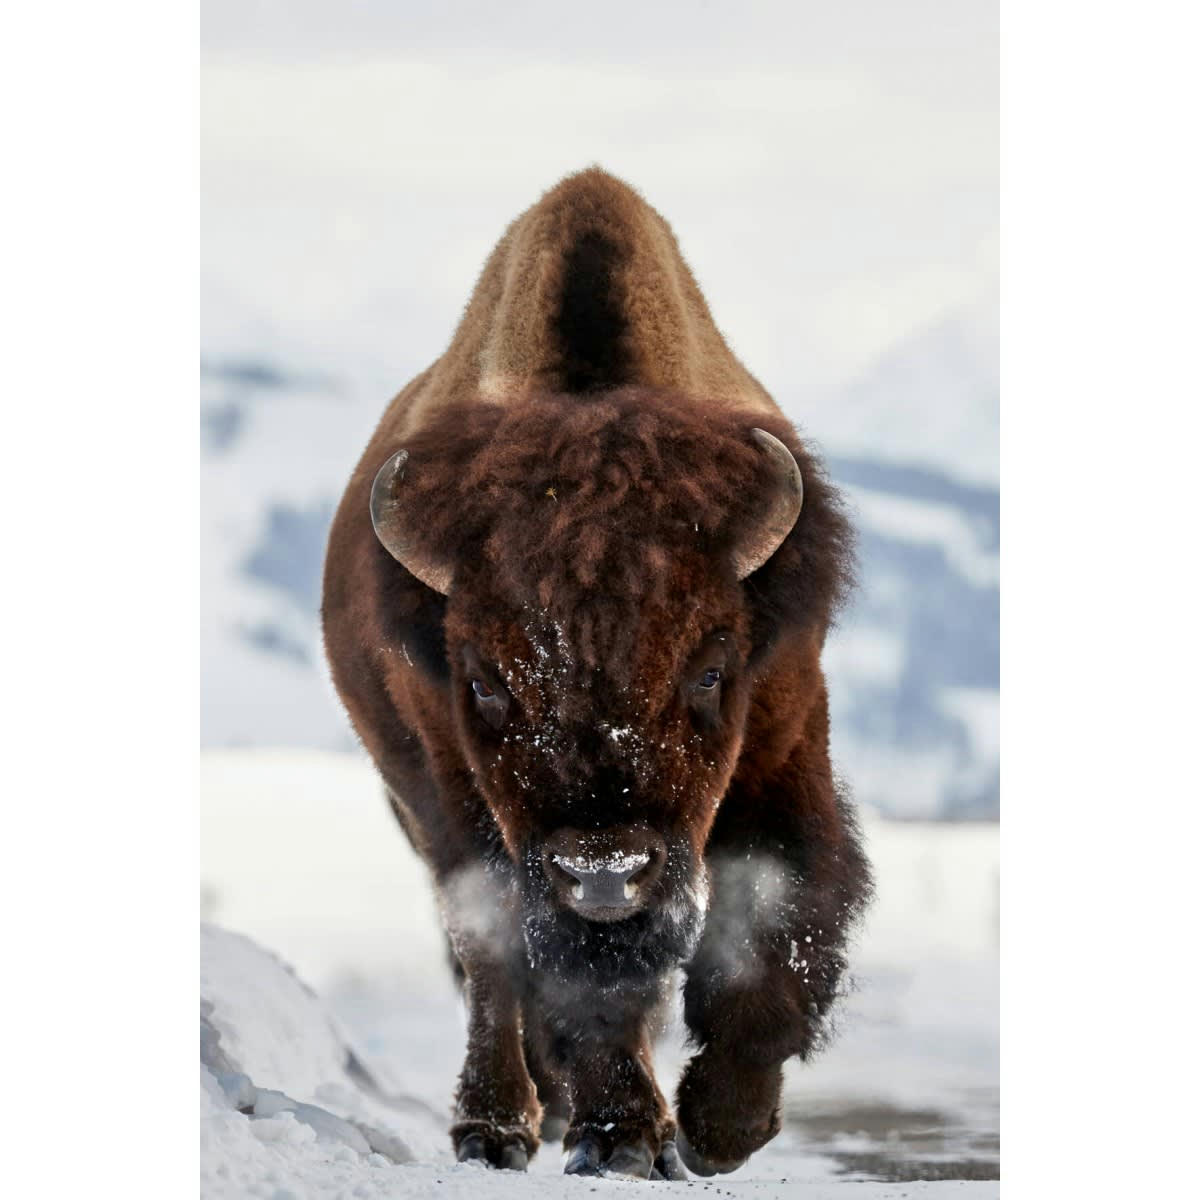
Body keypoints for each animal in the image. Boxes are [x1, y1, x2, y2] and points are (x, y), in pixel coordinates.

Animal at [322, 168, 872, 1180]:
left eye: (711, 669)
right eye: (485, 682)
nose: (605, 874)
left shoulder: (783, 742)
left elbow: (779, 915)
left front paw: (720, 1128)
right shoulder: (466, 799)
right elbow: (557, 972)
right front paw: (621, 1136)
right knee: (492, 962)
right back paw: (500, 1126)